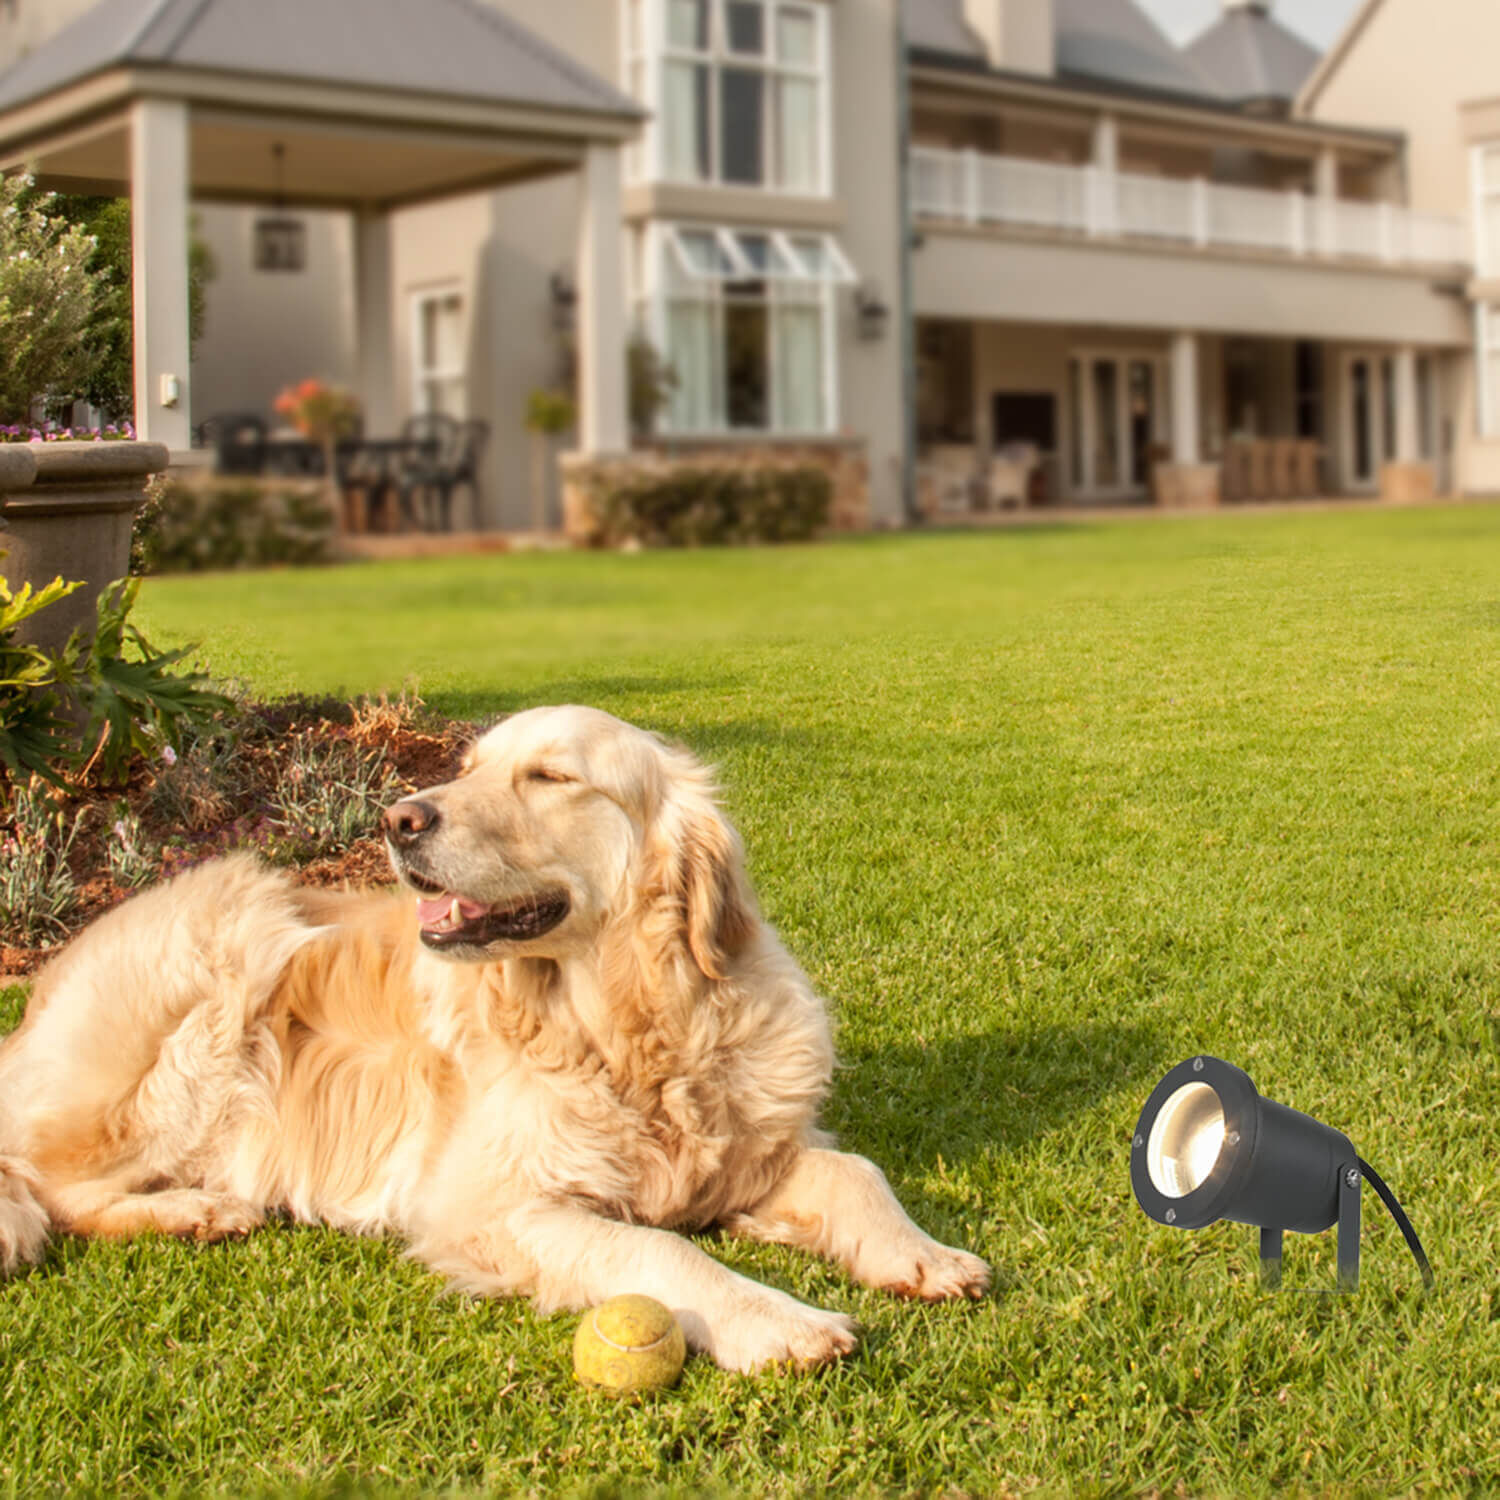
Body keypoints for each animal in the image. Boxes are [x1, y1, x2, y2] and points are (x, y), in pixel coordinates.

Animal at [0, 705, 990, 1374]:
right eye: (469, 766)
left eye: (550, 777)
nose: (399, 818)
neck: (627, 1032)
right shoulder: (488, 1206)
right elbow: (657, 1249)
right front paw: (779, 1320)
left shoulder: (750, 1150)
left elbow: (855, 1170)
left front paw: (922, 1253)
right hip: (230, 958)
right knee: (55, 1187)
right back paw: (191, 1210)